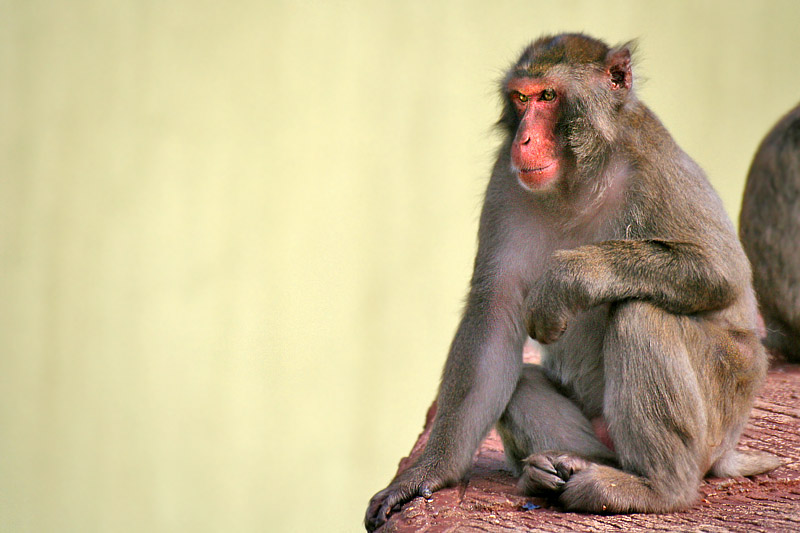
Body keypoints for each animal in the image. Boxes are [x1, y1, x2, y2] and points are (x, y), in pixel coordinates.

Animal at [365, 34, 780, 531]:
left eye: (548, 96)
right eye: (521, 98)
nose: (524, 138)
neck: (579, 179)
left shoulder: (653, 161)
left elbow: (721, 270)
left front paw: (565, 280)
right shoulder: (505, 183)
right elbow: (494, 317)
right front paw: (429, 473)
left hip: (724, 399)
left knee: (641, 314)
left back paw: (656, 487)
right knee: (520, 383)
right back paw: (560, 469)